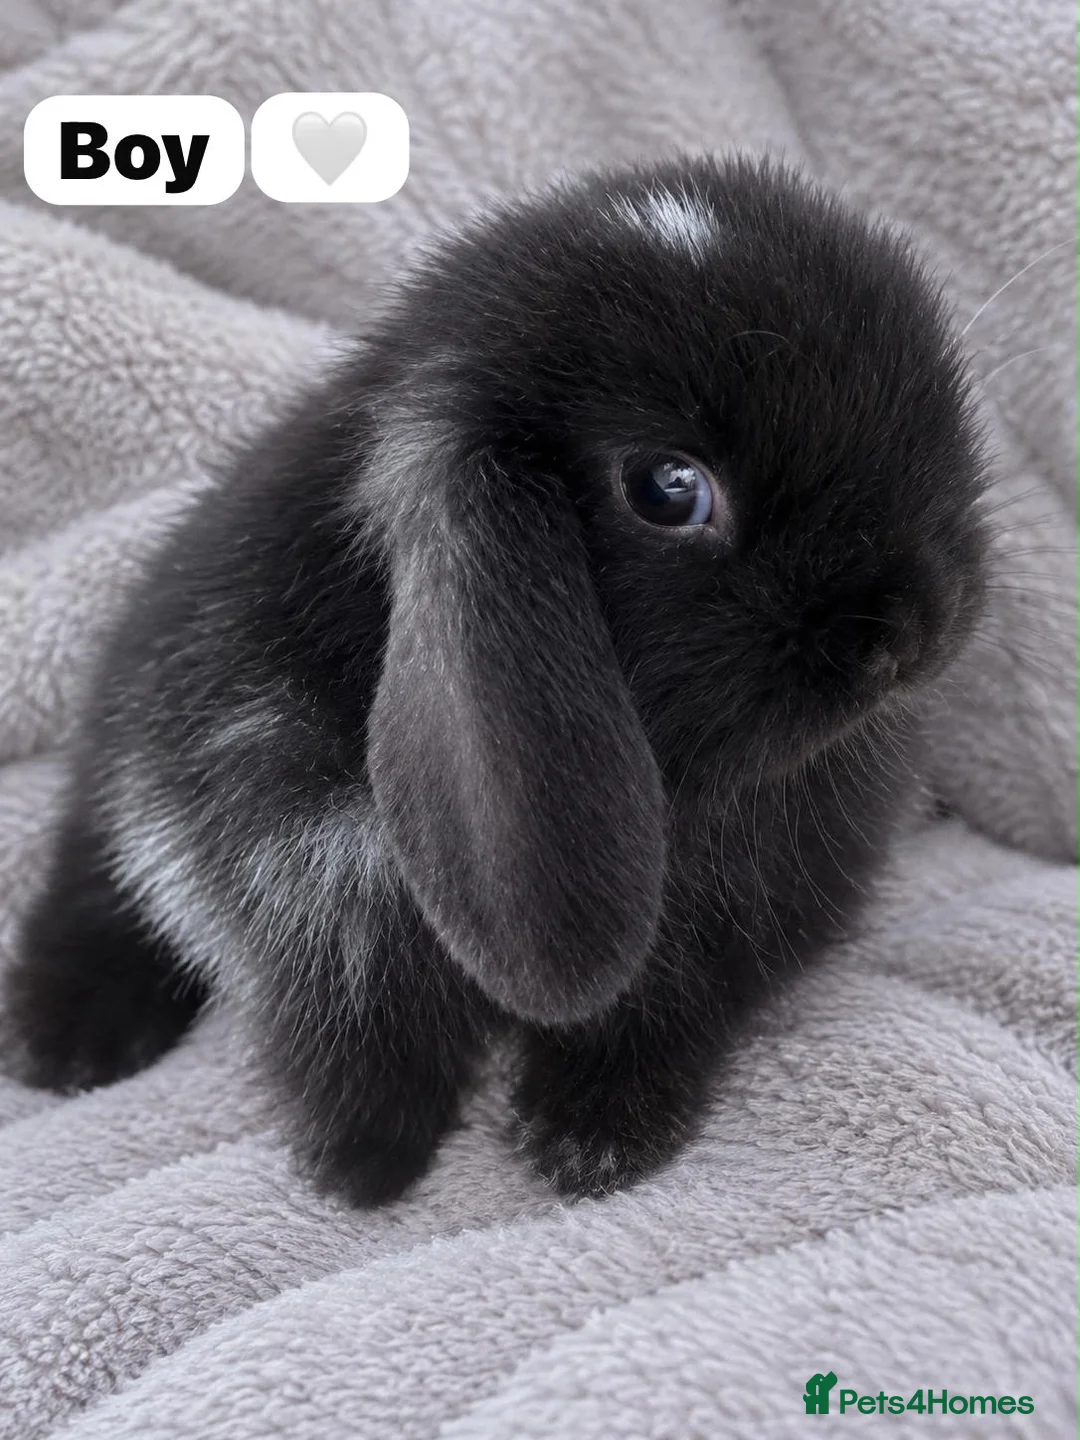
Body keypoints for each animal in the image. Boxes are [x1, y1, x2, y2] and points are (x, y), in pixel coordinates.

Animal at [3, 153, 988, 1204]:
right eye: (670, 489)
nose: (915, 633)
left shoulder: (751, 921)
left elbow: (671, 1010)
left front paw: (591, 1138)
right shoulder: (298, 866)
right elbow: (352, 1020)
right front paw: (363, 1162)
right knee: (98, 873)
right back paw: (62, 1037)